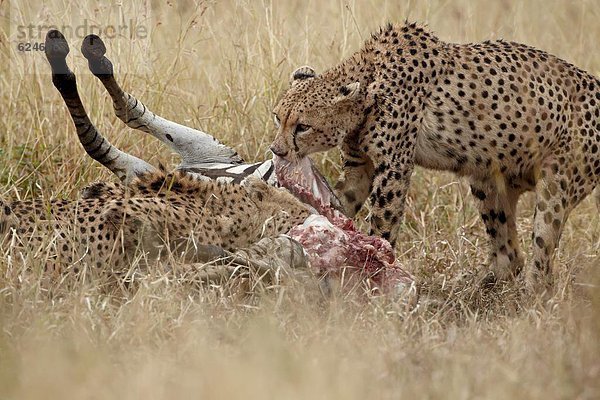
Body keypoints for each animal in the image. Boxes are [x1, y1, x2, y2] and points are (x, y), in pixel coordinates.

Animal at [274, 21, 600, 290]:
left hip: (555, 186)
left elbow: (382, 226)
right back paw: (478, 286)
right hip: (488, 179)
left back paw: (526, 297)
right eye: (278, 117)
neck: (370, 79)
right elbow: (341, 203)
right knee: (510, 254)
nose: (277, 150)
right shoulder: (359, 167)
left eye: (303, 126)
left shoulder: (393, 170)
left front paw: (375, 274)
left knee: (542, 265)